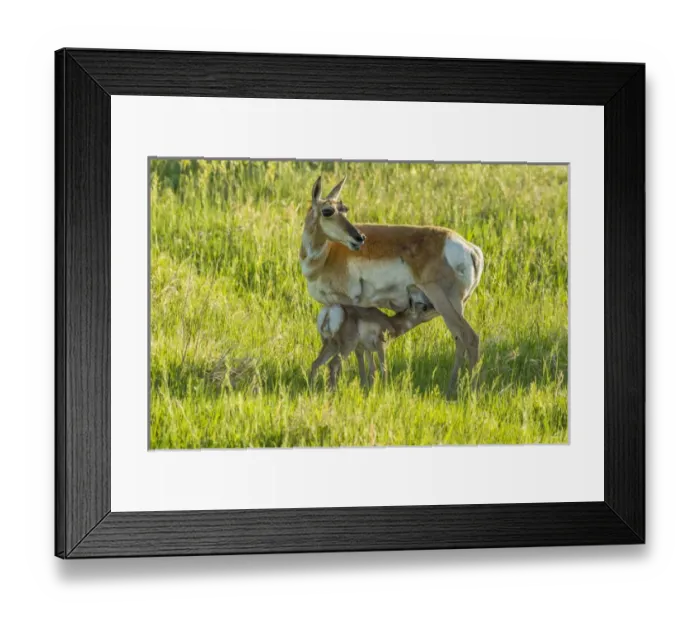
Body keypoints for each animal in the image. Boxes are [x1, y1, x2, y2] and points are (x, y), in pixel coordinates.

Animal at [309, 290, 438, 389]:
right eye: (424, 307)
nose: (435, 307)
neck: (391, 323)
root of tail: (331, 310)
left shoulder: (367, 350)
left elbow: (371, 370)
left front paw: (369, 390)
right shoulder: (380, 346)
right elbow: (383, 368)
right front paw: (385, 389)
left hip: (331, 345)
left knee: (316, 363)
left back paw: (313, 389)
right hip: (347, 347)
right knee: (333, 365)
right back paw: (333, 391)